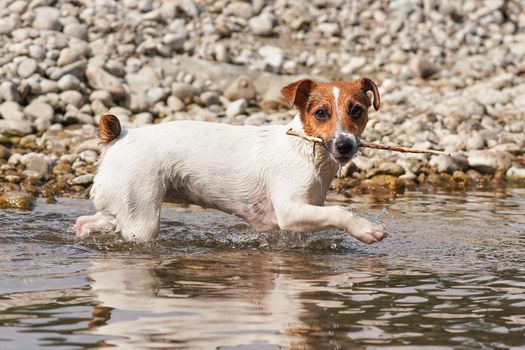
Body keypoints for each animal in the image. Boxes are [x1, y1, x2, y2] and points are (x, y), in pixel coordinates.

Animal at [77, 78, 384, 245]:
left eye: (356, 110)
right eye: (321, 113)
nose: (345, 144)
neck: (306, 150)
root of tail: (120, 136)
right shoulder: (291, 213)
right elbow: (340, 211)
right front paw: (366, 228)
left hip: (123, 205)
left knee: (89, 221)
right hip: (141, 222)